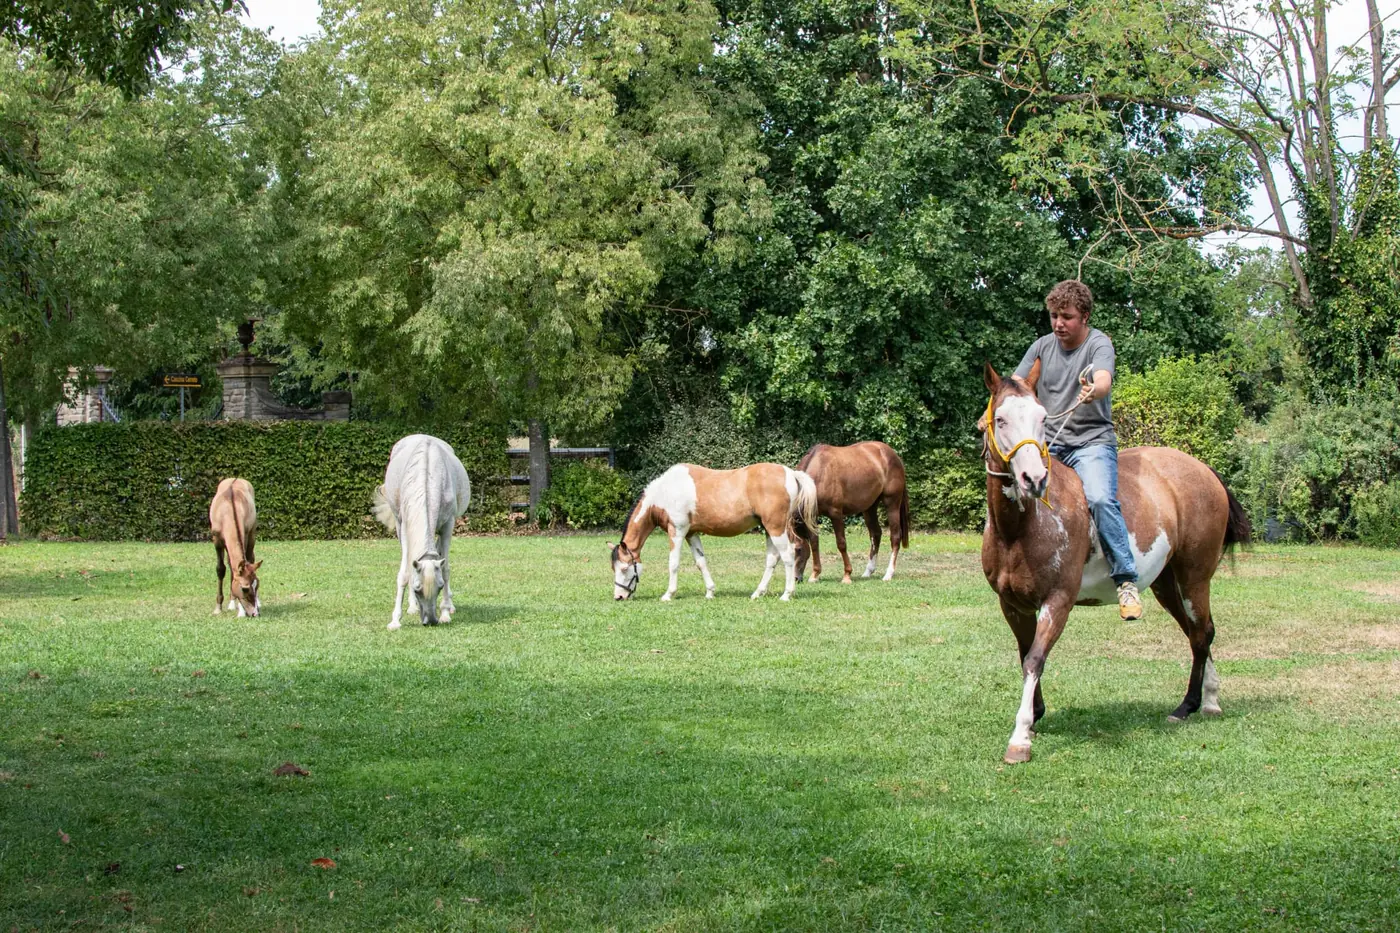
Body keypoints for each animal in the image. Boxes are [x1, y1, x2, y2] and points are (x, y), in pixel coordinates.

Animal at [210, 478, 261, 617]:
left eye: (257, 585)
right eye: (245, 588)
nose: (255, 613)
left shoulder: (245, 534)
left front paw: (241, 611)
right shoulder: (217, 540)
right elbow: (221, 569)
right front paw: (218, 607)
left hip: (252, 533)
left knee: (250, 558)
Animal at [372, 434, 471, 630]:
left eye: (440, 586)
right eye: (417, 588)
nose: (431, 621)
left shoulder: (448, 525)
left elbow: (445, 568)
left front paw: (445, 612)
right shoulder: (404, 526)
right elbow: (405, 572)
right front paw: (395, 620)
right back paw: (412, 607)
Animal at [610, 463, 819, 601]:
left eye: (625, 568)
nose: (619, 596)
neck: (665, 492)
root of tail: (790, 473)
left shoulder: (677, 531)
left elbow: (673, 563)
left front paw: (669, 594)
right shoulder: (691, 534)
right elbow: (700, 562)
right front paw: (710, 591)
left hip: (776, 528)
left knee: (788, 556)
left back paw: (786, 594)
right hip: (769, 530)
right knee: (772, 560)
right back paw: (757, 593)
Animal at [793, 441, 910, 583]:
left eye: (798, 549)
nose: (796, 578)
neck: (820, 473)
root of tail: (892, 454)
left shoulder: (836, 514)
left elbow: (841, 543)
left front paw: (847, 575)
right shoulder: (812, 516)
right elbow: (814, 542)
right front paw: (815, 575)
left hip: (892, 504)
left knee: (895, 537)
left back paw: (888, 574)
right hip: (869, 508)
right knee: (875, 534)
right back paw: (868, 571)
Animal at [979, 361, 1251, 764]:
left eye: (1042, 417)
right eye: (1001, 419)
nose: (1034, 479)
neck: (1021, 529)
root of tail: (1204, 471)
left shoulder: (1058, 601)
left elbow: (1035, 659)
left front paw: (1021, 737)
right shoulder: (1012, 604)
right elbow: (1025, 656)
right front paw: (1036, 716)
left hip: (1194, 577)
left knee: (1202, 632)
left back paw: (1188, 705)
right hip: (1165, 583)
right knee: (1197, 632)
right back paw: (1210, 699)